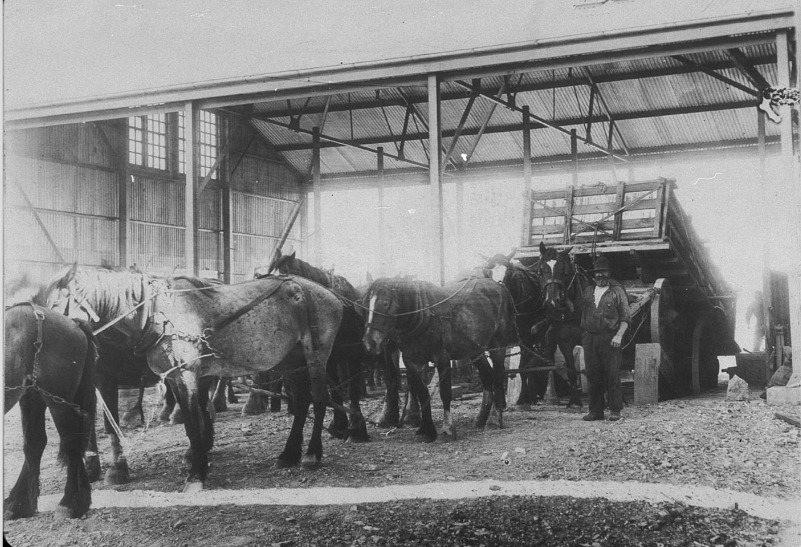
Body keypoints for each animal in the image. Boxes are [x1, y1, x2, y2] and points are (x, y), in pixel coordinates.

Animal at [4, 302, 98, 520]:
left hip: (57, 397)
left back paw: (69, 504)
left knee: (72, 439)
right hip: (32, 395)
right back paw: (16, 505)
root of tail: (73, 323)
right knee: (34, 443)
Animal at [39, 266, 342, 492]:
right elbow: (189, 423)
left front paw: (196, 474)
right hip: (292, 361)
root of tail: (330, 295)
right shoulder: (172, 377)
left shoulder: (183, 376)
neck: (158, 313)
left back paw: (311, 454)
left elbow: (193, 424)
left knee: (318, 399)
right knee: (301, 402)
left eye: (55, 302)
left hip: (315, 355)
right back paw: (288, 455)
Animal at [266, 250, 372, 444]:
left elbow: (352, 389)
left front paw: (356, 429)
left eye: (286, 276)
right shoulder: (328, 359)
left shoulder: (352, 354)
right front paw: (339, 425)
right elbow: (335, 390)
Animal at [360, 278, 516, 440]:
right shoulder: (412, 362)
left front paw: (447, 429)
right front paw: (426, 429)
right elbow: (422, 394)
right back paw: (481, 418)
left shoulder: (442, 359)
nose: (370, 342)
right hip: (475, 349)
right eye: (363, 305)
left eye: (385, 303)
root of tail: (499, 286)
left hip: (498, 345)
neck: (423, 313)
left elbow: (445, 393)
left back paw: (494, 419)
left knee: (498, 376)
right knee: (487, 377)